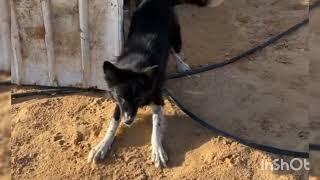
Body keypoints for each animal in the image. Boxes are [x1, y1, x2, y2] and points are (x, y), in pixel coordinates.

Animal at [87, 0, 212, 167]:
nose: (128, 121)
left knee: (175, 50)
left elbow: (156, 127)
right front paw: (102, 146)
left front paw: (157, 151)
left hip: (176, 35)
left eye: (139, 98)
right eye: (121, 98)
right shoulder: (119, 103)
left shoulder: (158, 99)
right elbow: (112, 124)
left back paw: (182, 65)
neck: (135, 65)